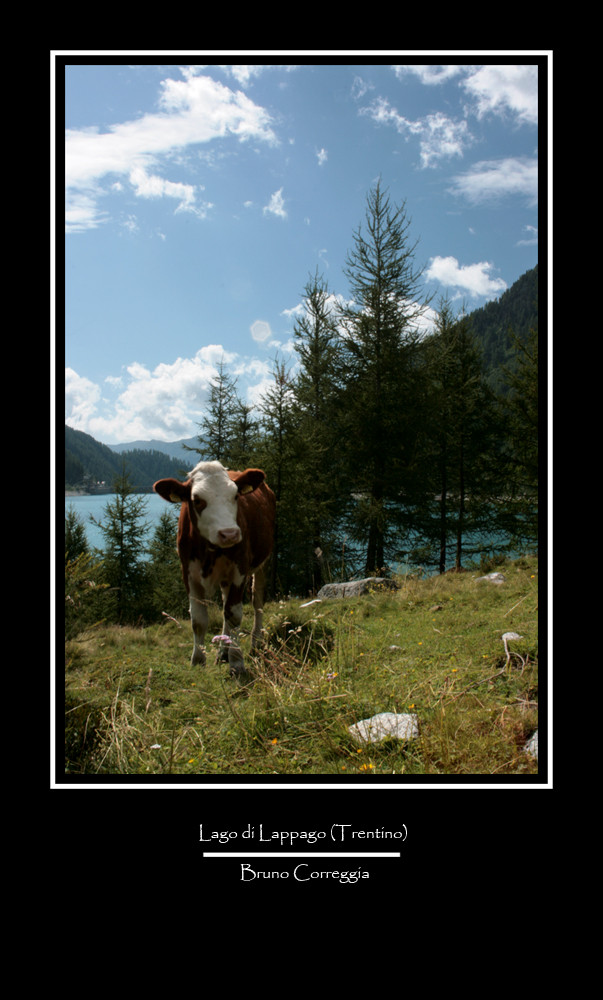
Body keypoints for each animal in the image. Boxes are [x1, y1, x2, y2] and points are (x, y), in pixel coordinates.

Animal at [153, 460, 276, 672]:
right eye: (197, 500)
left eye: (235, 495)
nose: (229, 534)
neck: (210, 551)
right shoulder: (188, 573)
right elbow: (198, 619)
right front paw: (198, 660)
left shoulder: (240, 570)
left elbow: (234, 615)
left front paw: (237, 661)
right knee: (226, 604)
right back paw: (222, 652)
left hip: (263, 562)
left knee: (257, 601)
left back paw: (255, 642)